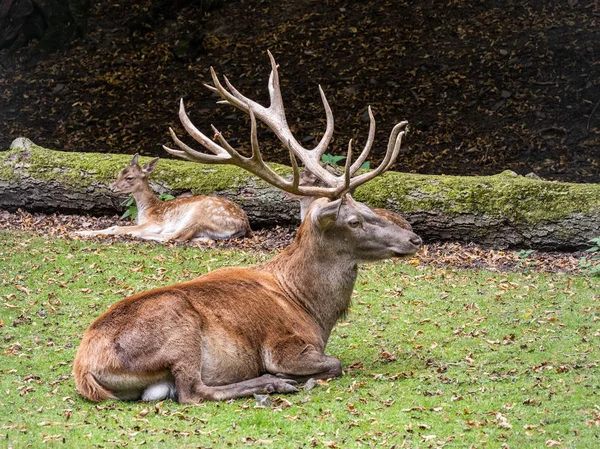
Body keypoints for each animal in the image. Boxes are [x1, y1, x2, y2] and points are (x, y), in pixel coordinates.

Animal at [75, 154, 251, 242]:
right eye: (120, 172)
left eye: (129, 177)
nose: (112, 187)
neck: (148, 208)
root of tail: (245, 225)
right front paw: (80, 232)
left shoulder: (155, 222)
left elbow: (116, 227)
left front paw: (80, 233)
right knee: (200, 239)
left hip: (199, 213)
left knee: (173, 236)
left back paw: (140, 236)